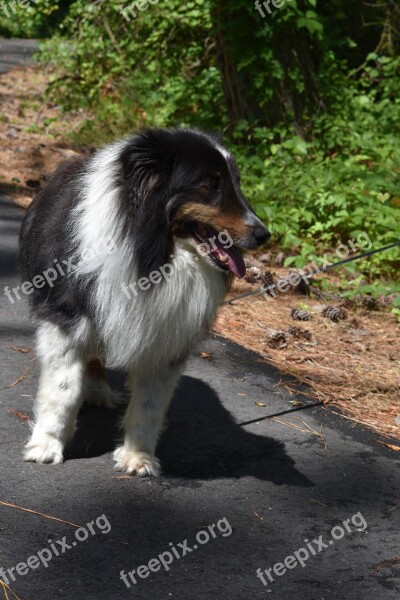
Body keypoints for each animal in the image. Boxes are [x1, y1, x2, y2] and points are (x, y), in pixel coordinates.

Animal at [18, 129, 268, 476]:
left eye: (237, 182)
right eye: (210, 185)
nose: (264, 235)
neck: (153, 252)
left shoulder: (165, 332)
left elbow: (150, 402)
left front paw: (138, 456)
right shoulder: (65, 317)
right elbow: (62, 388)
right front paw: (46, 446)